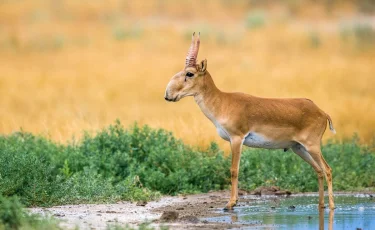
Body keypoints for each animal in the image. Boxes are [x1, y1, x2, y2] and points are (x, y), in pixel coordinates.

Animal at [164, 32, 338, 210]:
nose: (168, 95)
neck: (222, 102)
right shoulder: (232, 140)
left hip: (312, 146)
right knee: (319, 171)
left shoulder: (237, 138)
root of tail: (322, 112)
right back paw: (321, 205)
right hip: (298, 148)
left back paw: (332, 206)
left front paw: (230, 203)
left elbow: (234, 170)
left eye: (189, 73)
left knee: (328, 169)